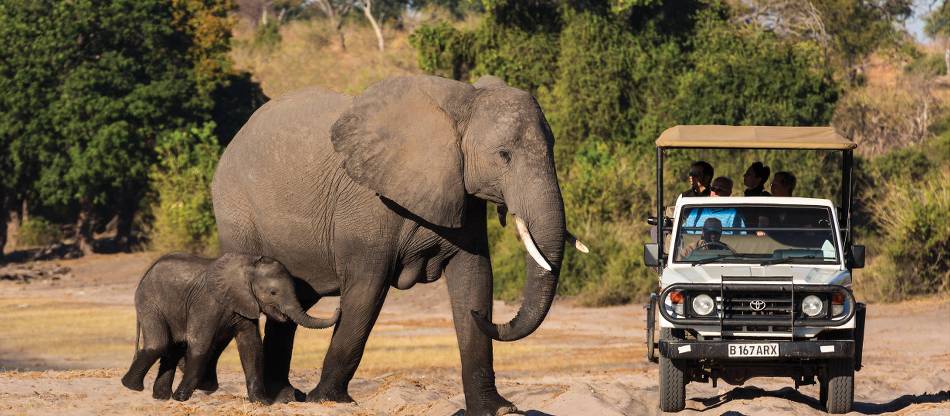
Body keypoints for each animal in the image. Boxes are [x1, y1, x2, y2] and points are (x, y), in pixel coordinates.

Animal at [121, 252, 340, 404]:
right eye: (273, 292)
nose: (339, 307)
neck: (248, 267)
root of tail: (145, 273)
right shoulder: (207, 302)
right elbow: (200, 344)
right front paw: (181, 397)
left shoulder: (245, 304)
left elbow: (251, 346)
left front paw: (262, 402)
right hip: (150, 302)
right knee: (159, 343)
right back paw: (131, 386)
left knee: (172, 348)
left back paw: (159, 397)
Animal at [212, 75, 584, 416]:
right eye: (504, 155)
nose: (488, 318)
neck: (460, 106)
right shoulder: (368, 203)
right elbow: (367, 291)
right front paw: (329, 400)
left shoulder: (462, 193)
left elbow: (475, 277)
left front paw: (498, 409)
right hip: (236, 211)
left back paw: (285, 397)